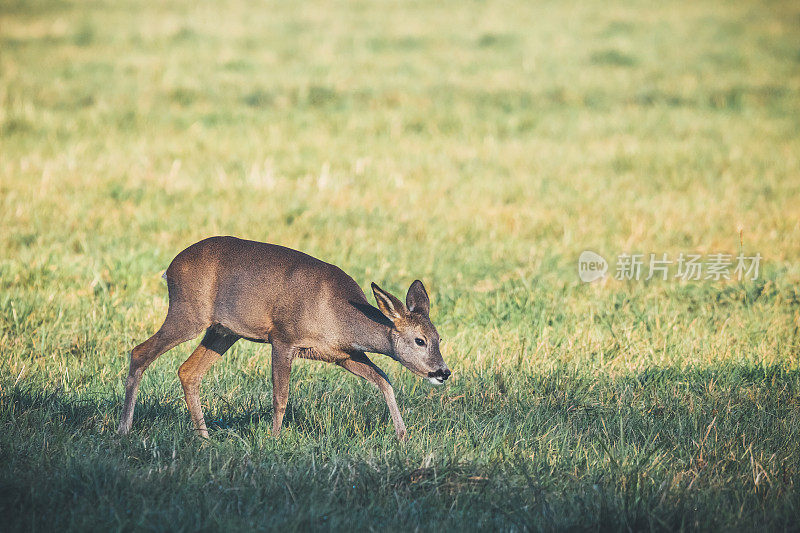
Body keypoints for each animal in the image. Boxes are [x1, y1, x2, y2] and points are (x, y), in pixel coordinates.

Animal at [117, 235, 450, 438]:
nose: (443, 372)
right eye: (420, 340)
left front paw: (402, 436)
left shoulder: (343, 354)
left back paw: (205, 438)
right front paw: (274, 438)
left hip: (222, 330)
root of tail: (170, 268)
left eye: (438, 339)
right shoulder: (283, 337)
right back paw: (124, 429)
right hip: (188, 312)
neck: (338, 316)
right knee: (140, 352)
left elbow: (384, 380)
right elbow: (281, 396)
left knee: (188, 371)